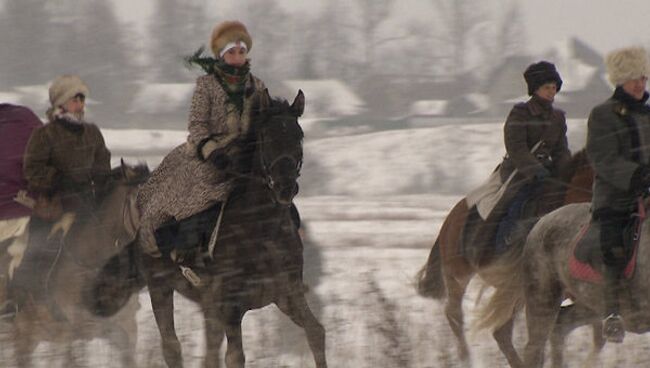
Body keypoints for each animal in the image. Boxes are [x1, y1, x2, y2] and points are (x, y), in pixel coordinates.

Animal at [88, 90, 326, 368]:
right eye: (267, 137)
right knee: (172, 347)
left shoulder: (288, 295)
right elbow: (235, 357)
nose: (285, 188)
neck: (264, 235)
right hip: (160, 287)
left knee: (207, 354)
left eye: (299, 136)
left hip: (207, 305)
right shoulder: (231, 306)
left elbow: (316, 332)